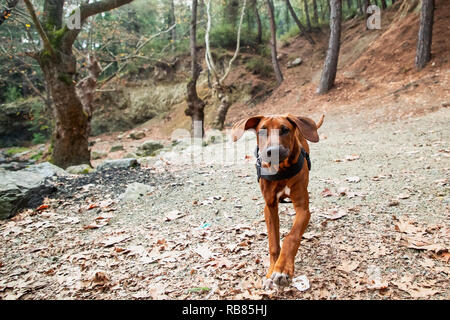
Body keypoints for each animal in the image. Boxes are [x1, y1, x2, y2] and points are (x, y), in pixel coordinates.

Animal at [232, 114, 324, 288]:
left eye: (285, 129)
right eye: (262, 131)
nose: (273, 151)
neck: (281, 170)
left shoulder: (303, 209)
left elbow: (291, 236)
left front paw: (282, 269)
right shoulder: (269, 207)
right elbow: (273, 244)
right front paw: (270, 272)